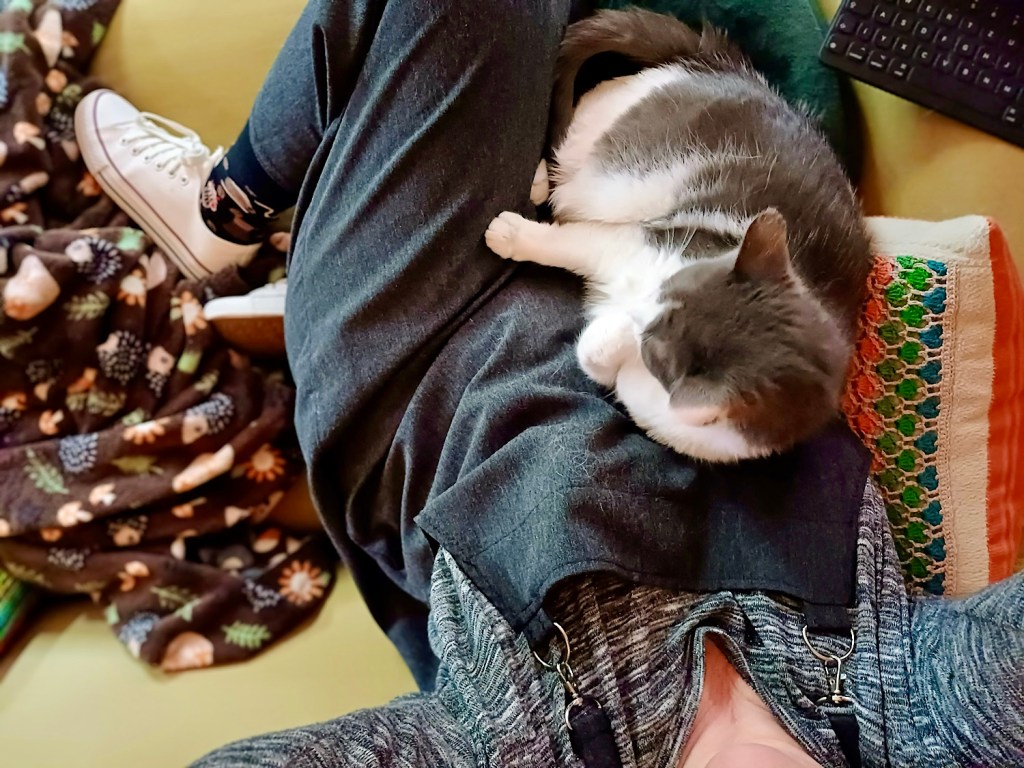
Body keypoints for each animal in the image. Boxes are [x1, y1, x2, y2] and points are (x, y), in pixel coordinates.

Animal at [484, 7, 873, 462]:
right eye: (670, 283)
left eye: (656, 351)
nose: (636, 307)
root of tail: (724, 66)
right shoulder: (635, 242)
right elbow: (569, 244)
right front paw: (510, 233)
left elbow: (594, 354)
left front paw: (615, 331)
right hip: (618, 172)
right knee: (583, 118)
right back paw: (539, 180)